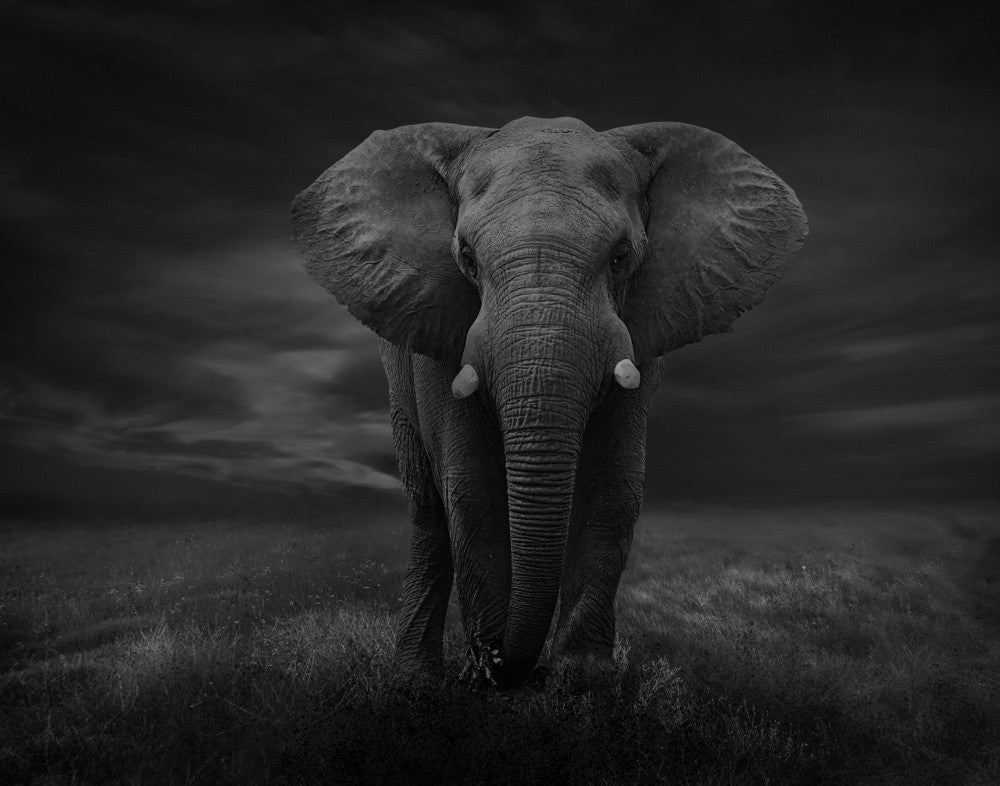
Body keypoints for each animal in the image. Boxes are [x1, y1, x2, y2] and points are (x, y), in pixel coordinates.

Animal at [291, 116, 806, 689]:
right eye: (466, 259)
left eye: (622, 257)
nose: (501, 664)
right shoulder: (439, 325)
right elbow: (470, 486)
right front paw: (487, 678)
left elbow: (613, 483)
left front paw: (582, 680)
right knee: (427, 512)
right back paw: (415, 684)